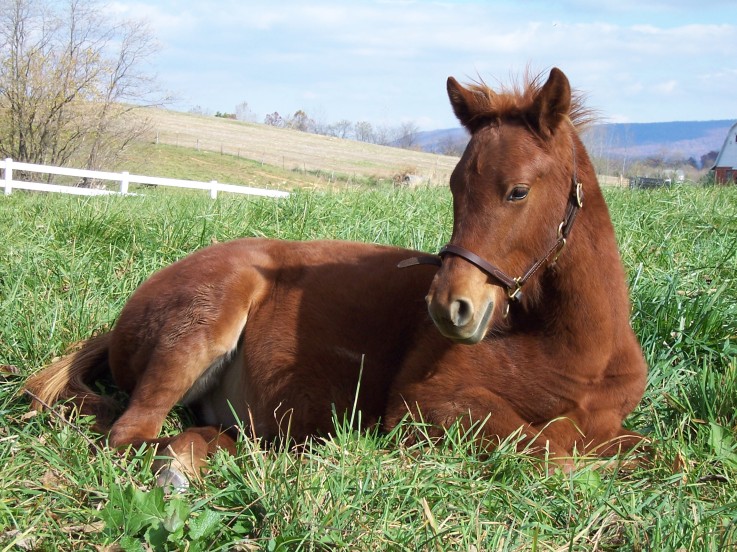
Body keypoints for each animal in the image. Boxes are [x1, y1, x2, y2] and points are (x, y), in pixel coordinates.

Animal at [24, 67, 644, 486]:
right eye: (453, 188)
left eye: (518, 191)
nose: (449, 308)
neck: (576, 353)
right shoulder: (426, 405)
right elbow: (551, 450)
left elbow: (639, 449)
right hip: (203, 325)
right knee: (131, 433)